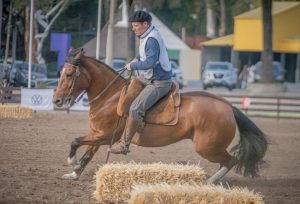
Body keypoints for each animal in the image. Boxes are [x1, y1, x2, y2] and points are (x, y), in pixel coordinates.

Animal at [52, 48, 268, 182]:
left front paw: (71, 162)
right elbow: (87, 154)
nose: (57, 101)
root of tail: (228, 107)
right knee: (229, 161)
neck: (110, 96)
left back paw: (208, 183)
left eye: (69, 74)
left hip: (208, 148)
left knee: (231, 160)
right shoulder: (97, 135)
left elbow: (75, 142)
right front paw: (74, 173)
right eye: (61, 72)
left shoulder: (103, 136)